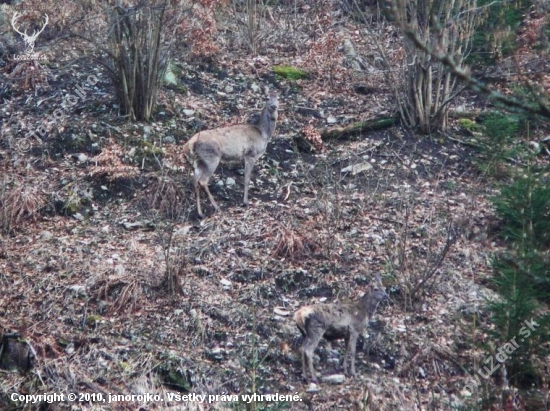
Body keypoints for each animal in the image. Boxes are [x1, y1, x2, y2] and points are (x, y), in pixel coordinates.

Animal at [183, 90, 280, 219]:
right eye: (267, 98)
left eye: (278, 98)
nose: (273, 106)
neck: (263, 134)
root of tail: (189, 144)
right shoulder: (250, 154)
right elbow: (247, 179)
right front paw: (245, 202)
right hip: (212, 158)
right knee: (203, 181)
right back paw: (217, 207)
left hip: (198, 161)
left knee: (195, 181)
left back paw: (200, 213)